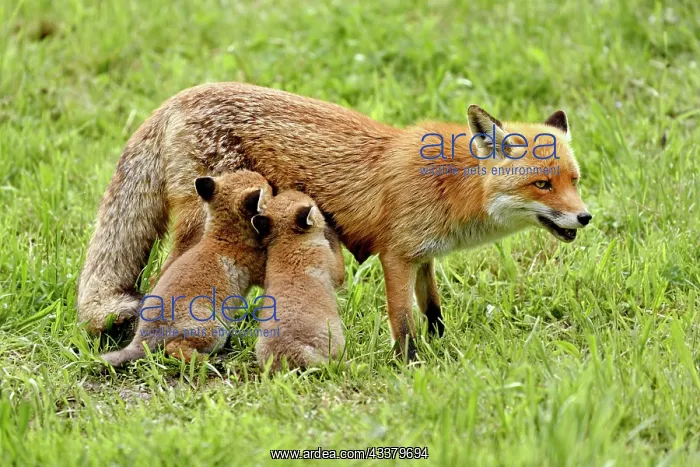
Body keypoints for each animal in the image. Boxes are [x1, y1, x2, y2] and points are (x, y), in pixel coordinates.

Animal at [100, 170, 272, 367]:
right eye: (269, 187)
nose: (272, 183)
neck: (224, 238)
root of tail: (142, 339)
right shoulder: (258, 269)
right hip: (215, 330)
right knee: (174, 349)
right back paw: (210, 359)